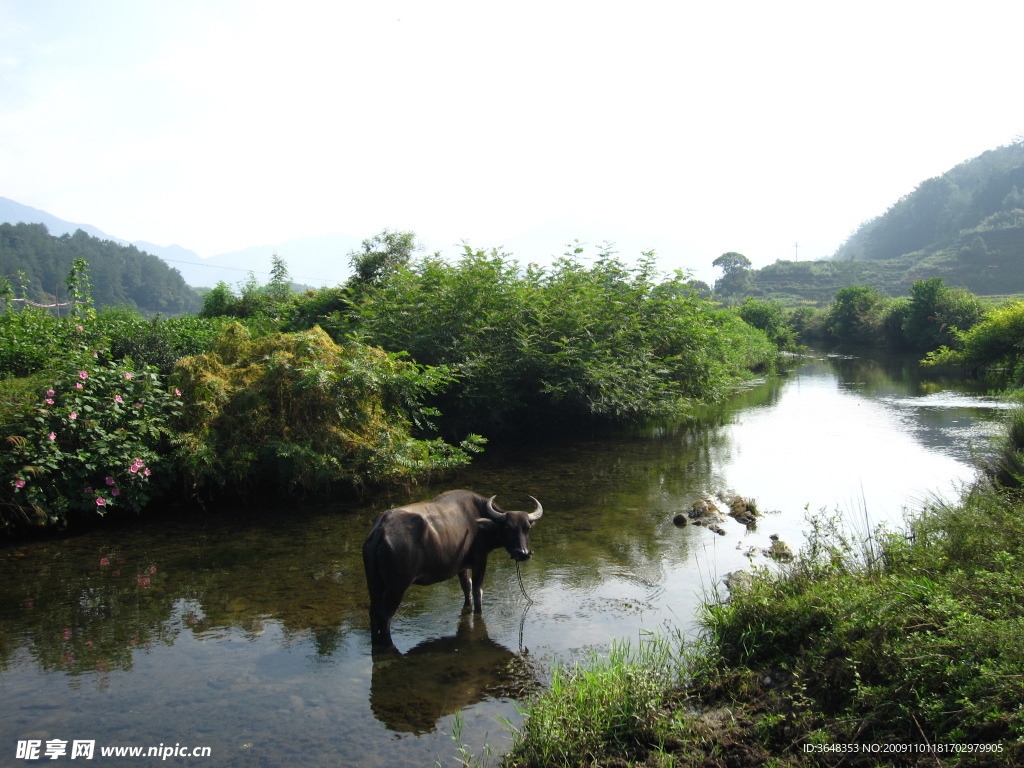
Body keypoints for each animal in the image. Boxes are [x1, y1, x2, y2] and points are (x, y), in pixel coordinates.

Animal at [366, 489, 548, 647]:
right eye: (507, 528)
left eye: (527, 528)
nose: (522, 553)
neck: (479, 522)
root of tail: (381, 531)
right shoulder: (480, 560)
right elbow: (477, 591)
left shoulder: (461, 566)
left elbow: (466, 587)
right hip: (396, 586)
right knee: (384, 614)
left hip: (374, 582)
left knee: (373, 611)